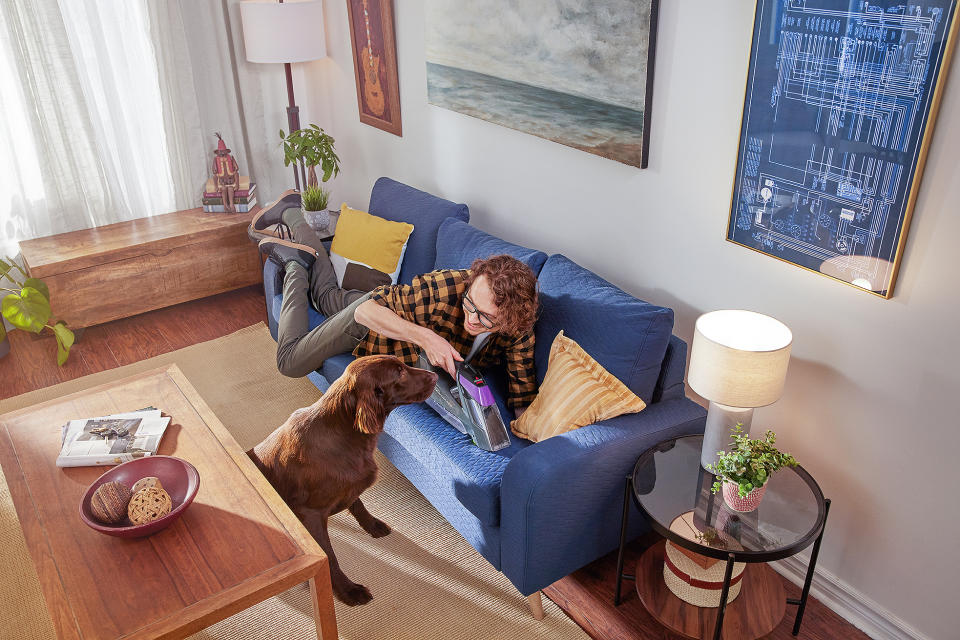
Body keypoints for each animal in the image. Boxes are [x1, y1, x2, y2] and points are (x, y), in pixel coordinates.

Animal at [249, 356, 440, 604]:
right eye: (399, 373)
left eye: (403, 364)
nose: (436, 375)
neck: (344, 432)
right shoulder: (311, 514)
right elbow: (330, 558)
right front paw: (348, 591)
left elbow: (357, 504)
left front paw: (373, 525)